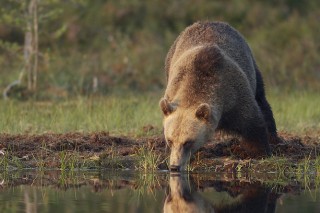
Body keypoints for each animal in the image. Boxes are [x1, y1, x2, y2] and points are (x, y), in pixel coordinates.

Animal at [160, 21, 280, 171]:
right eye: (170, 140)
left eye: (188, 142)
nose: (174, 166)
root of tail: (209, 21)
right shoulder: (173, 89)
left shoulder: (234, 95)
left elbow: (252, 122)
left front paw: (260, 152)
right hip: (170, 58)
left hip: (251, 64)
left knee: (261, 98)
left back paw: (274, 137)